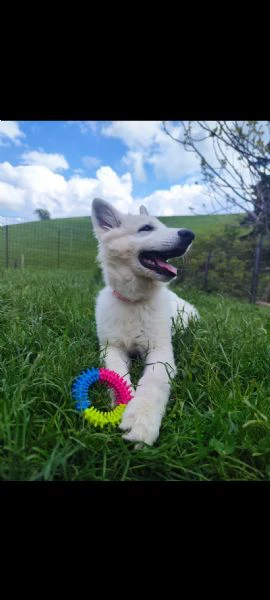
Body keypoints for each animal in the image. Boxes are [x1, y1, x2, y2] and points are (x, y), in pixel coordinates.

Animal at [90, 199, 198, 448]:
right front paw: (123, 404)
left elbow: (153, 380)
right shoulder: (111, 347)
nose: (189, 234)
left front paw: (141, 419)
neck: (134, 302)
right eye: (146, 228)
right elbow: (116, 373)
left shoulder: (161, 351)